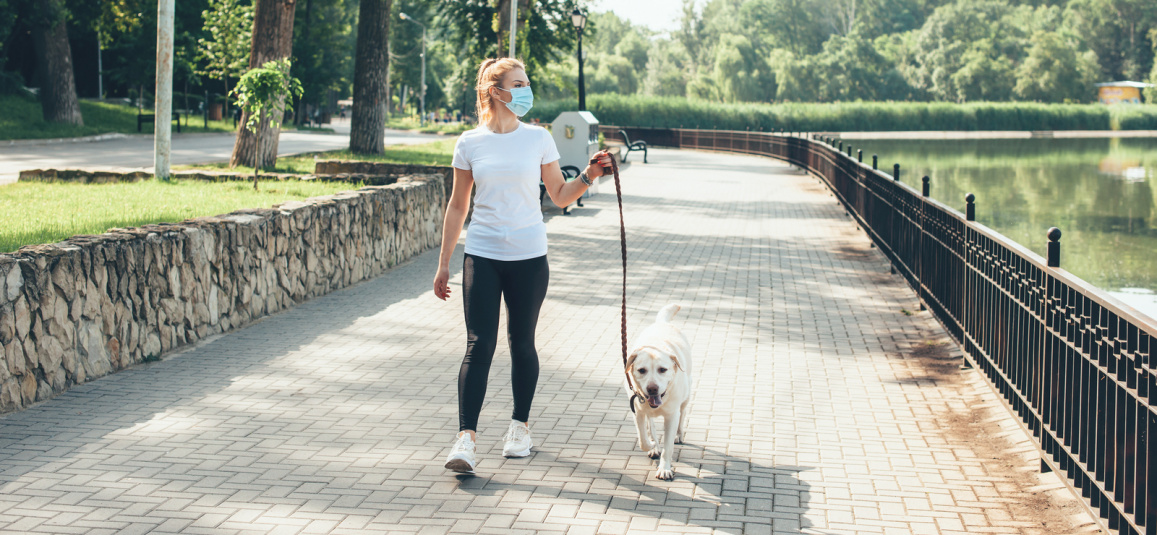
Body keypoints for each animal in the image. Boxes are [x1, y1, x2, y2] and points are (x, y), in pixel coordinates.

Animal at [629, 305, 689, 481]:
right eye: (642, 370)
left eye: (662, 369)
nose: (652, 388)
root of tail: (662, 323)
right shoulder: (637, 412)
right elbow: (643, 439)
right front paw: (652, 445)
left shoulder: (671, 416)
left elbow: (668, 447)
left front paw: (665, 469)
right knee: (651, 425)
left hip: (686, 397)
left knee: (683, 413)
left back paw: (679, 435)